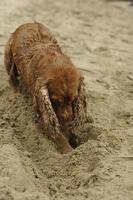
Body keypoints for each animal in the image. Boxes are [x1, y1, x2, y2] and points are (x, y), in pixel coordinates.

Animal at [4, 21, 87, 153]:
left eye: (73, 99)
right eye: (55, 102)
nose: (69, 122)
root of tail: (28, 23)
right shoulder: (43, 112)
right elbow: (58, 135)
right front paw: (70, 152)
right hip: (8, 57)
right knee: (12, 79)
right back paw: (15, 97)